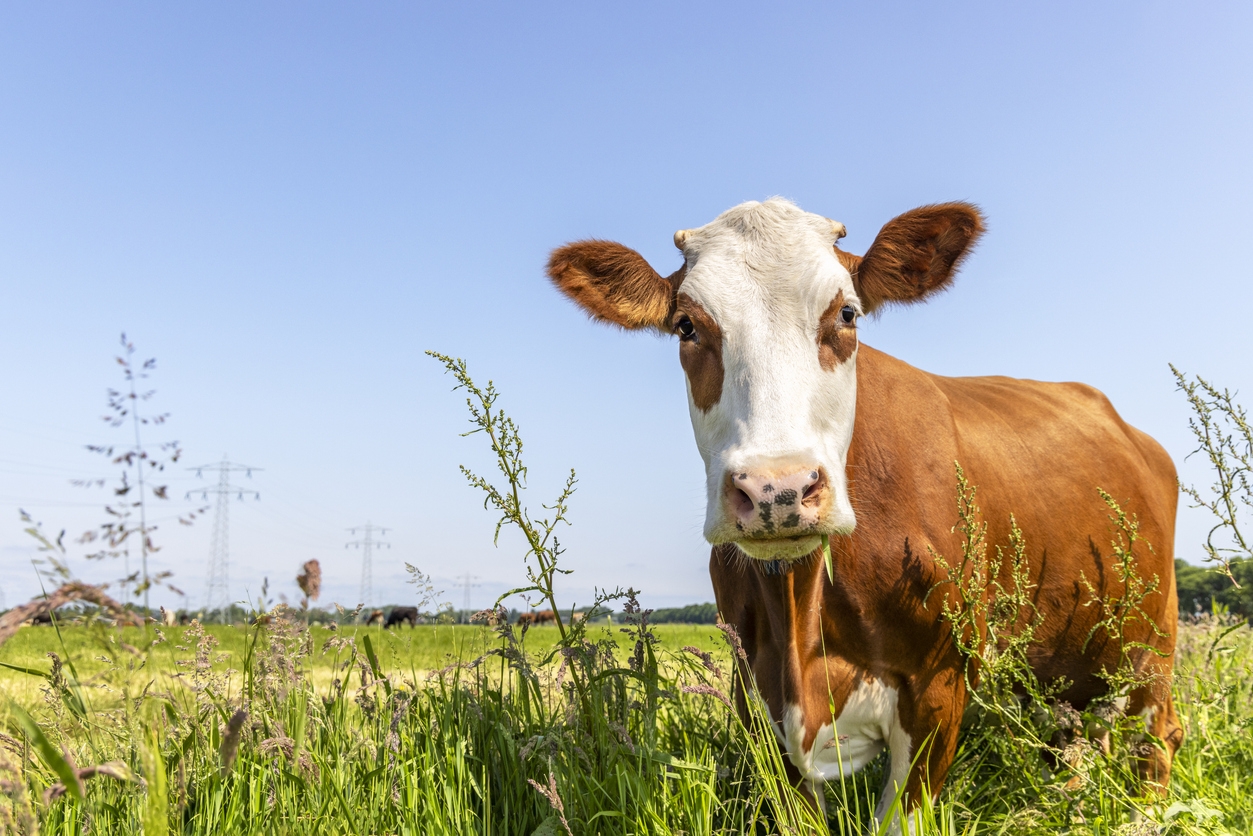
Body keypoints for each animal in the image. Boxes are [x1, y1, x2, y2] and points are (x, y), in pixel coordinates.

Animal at [546, 198, 1181, 828]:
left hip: (1153, 645)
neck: (800, 618)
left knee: (1158, 737)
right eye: (686, 325)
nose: (777, 488)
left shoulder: (938, 687)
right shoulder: (759, 696)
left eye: (847, 314)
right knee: (1068, 745)